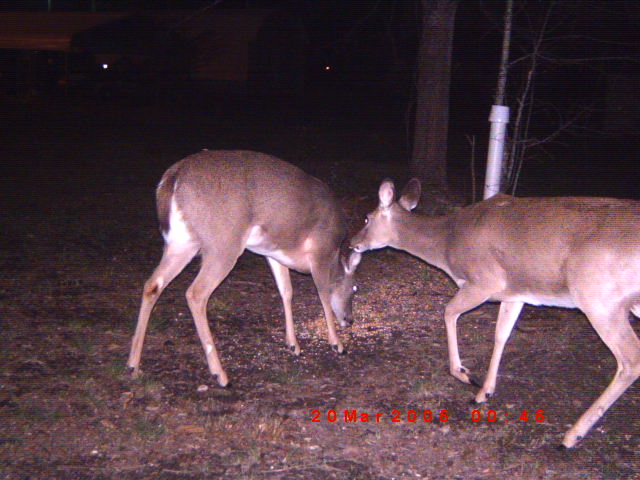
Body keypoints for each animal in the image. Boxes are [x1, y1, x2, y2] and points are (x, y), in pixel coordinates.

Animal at [127, 150, 361, 387]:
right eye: (354, 288)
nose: (349, 320)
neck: (334, 255)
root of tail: (172, 177)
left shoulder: (273, 252)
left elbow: (286, 292)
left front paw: (293, 345)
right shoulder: (320, 250)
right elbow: (323, 294)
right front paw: (337, 344)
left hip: (182, 241)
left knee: (152, 284)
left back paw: (133, 365)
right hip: (223, 242)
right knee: (196, 293)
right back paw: (220, 374)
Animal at [350, 178, 640, 448]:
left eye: (366, 217)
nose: (353, 243)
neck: (447, 243)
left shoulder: (483, 281)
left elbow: (448, 312)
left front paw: (465, 374)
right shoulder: (515, 292)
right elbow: (501, 335)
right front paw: (485, 392)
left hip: (599, 297)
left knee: (631, 358)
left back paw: (572, 435)